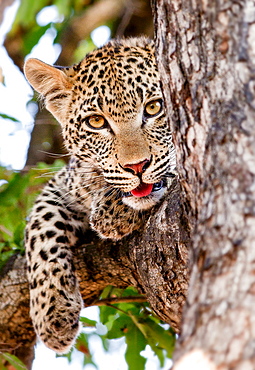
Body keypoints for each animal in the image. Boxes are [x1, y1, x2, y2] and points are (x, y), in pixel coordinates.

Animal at [23, 36, 176, 354]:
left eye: (155, 107)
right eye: (96, 122)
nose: (136, 166)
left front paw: (112, 213)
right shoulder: (64, 182)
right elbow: (40, 228)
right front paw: (51, 314)